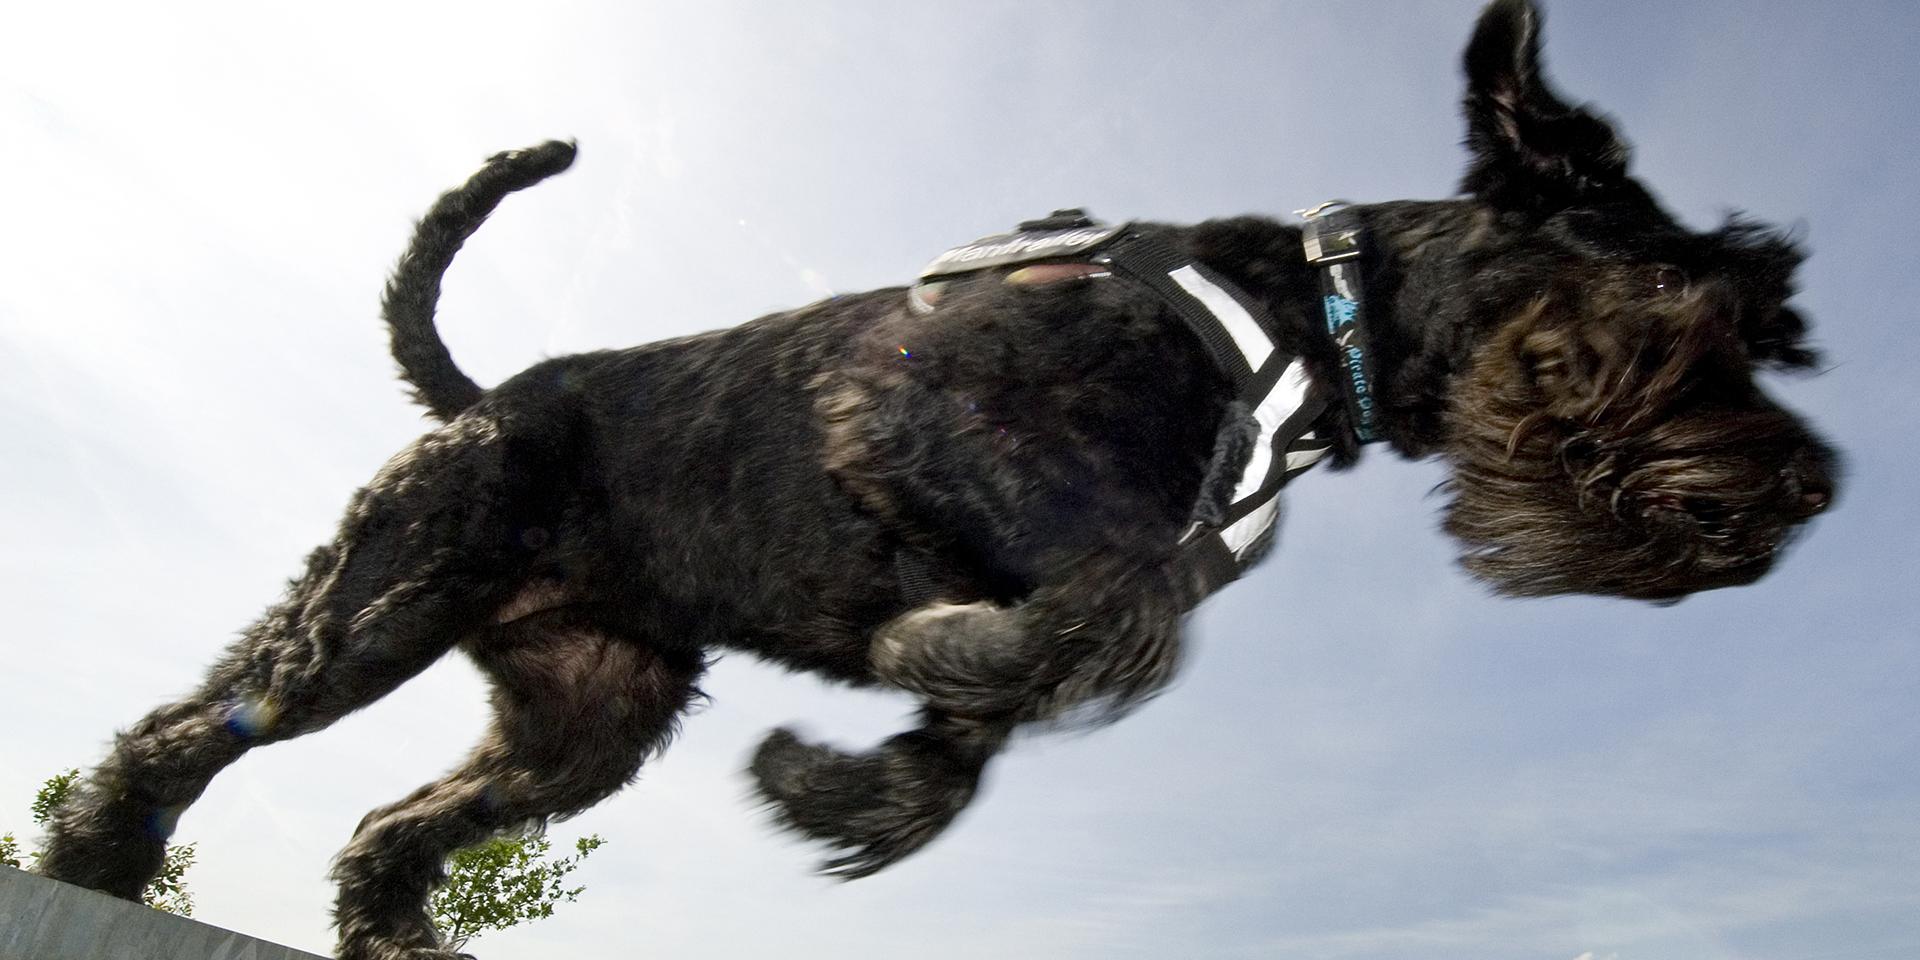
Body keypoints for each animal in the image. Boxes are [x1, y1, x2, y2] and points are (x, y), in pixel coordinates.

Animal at [45, 3, 1835, 956]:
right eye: (1682, 297)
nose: (1808, 492)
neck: (1306, 321)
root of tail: (483, 400)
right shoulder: (913, 426)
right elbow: (1124, 604)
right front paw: (927, 664)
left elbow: (1028, 695)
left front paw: (850, 790)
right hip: (386, 604)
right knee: (197, 727)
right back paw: (98, 860)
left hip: (583, 717)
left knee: (394, 818)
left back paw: (385, 925)